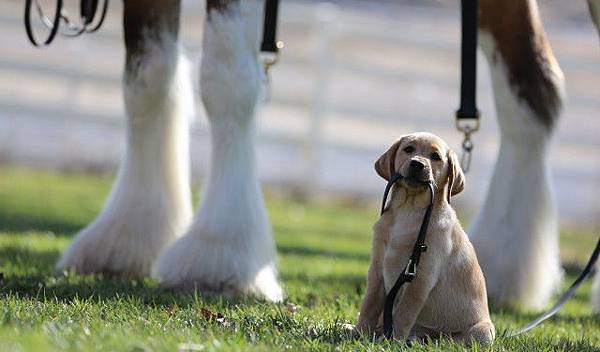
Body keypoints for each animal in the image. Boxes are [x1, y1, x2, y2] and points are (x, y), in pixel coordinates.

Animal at [358, 131, 494, 344]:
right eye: (409, 149)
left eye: (435, 157)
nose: (417, 164)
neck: (409, 209)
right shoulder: (377, 268)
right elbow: (369, 305)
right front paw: (358, 333)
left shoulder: (421, 276)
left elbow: (404, 313)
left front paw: (392, 340)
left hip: (482, 331)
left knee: (448, 340)